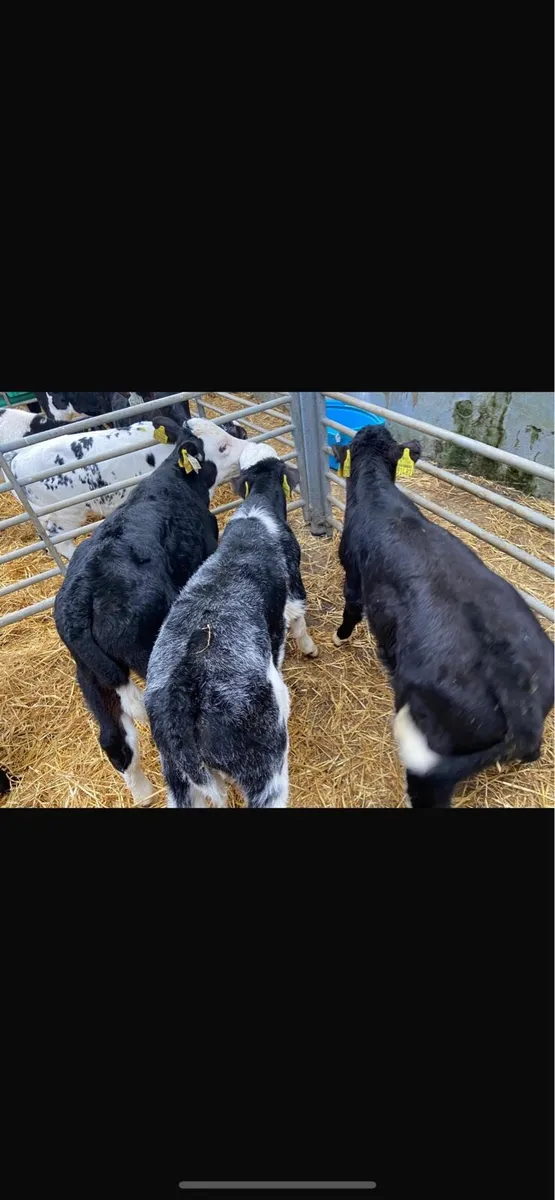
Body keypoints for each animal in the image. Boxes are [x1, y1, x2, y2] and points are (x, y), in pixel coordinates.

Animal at [54, 418, 247, 805]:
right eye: (221, 447)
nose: (245, 441)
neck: (175, 481)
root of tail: (83, 597)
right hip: (150, 658)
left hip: (91, 676)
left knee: (115, 741)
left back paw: (143, 795)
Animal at [145, 443, 318, 810]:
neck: (257, 511)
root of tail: (183, 700)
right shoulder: (290, 592)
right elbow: (296, 621)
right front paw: (309, 649)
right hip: (263, 764)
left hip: (177, 777)